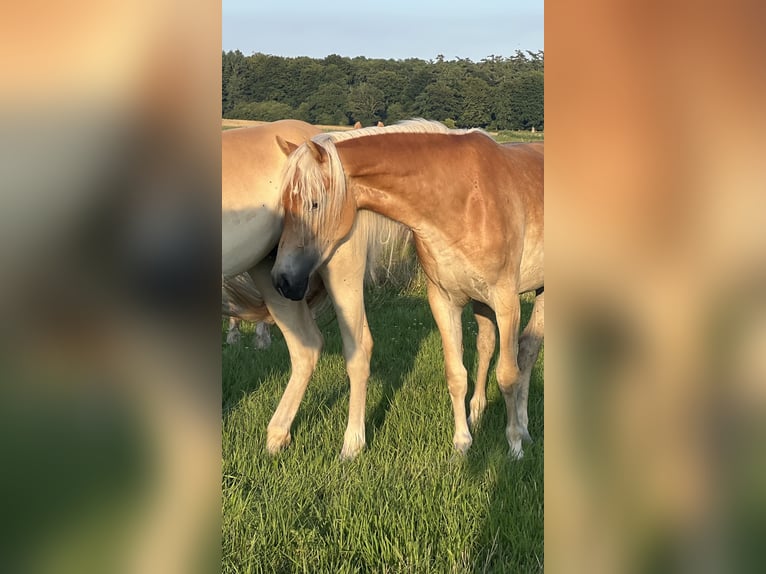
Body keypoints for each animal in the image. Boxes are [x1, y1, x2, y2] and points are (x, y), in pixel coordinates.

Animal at [222, 119, 411, 459]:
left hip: (339, 269)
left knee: (357, 348)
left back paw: (352, 445)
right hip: (274, 275)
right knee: (306, 347)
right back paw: (277, 437)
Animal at [271, 120, 544, 458]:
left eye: (314, 204)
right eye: (284, 205)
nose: (282, 280)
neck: (465, 199)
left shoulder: (507, 302)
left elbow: (508, 375)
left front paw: (514, 445)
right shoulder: (444, 301)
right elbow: (456, 375)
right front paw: (462, 443)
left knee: (527, 351)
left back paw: (525, 430)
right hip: (483, 304)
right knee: (487, 346)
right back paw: (479, 414)